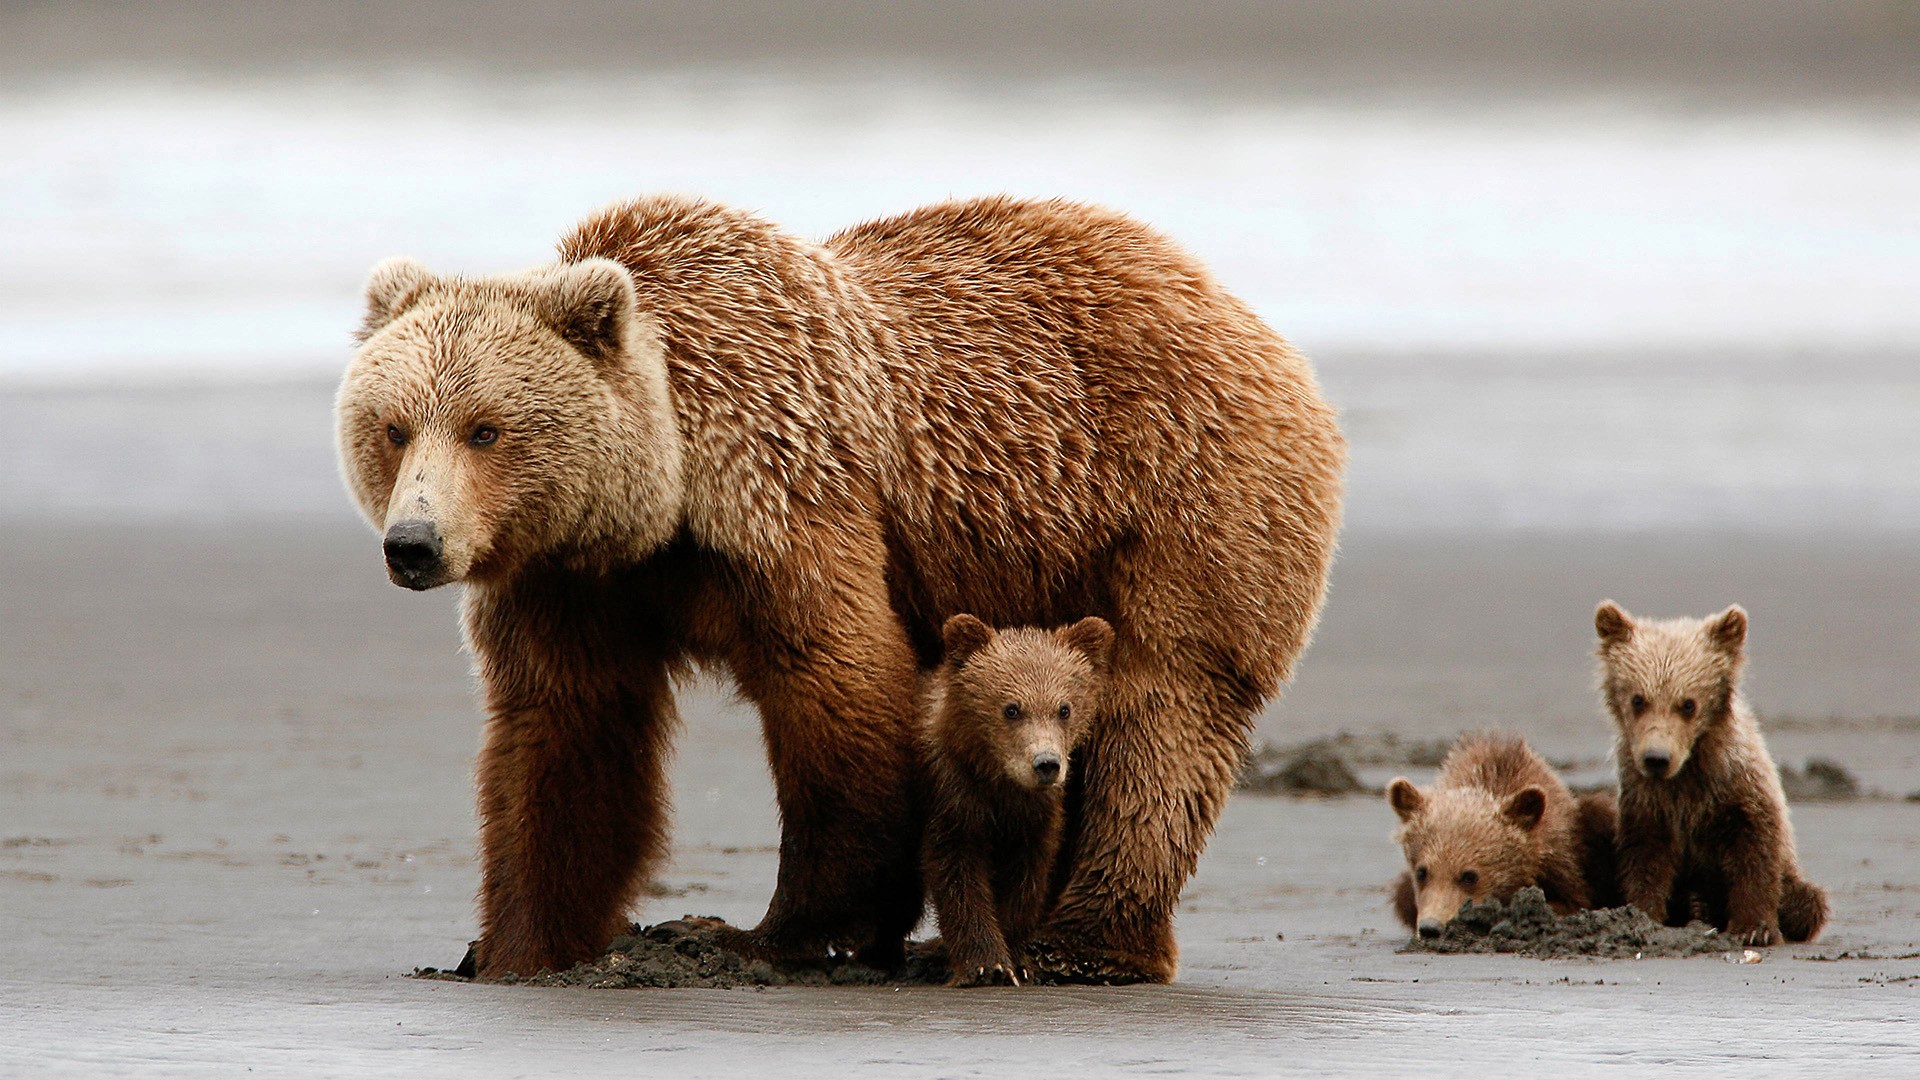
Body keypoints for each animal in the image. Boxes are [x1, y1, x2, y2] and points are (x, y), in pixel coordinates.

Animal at [334, 191, 1351, 976]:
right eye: (393, 425)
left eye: (486, 428)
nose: (414, 544)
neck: (665, 496)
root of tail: (1254, 324)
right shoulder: (570, 580)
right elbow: (564, 730)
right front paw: (519, 944)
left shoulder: (788, 494)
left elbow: (838, 681)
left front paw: (777, 931)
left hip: (1182, 501)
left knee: (1163, 713)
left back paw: (1086, 944)